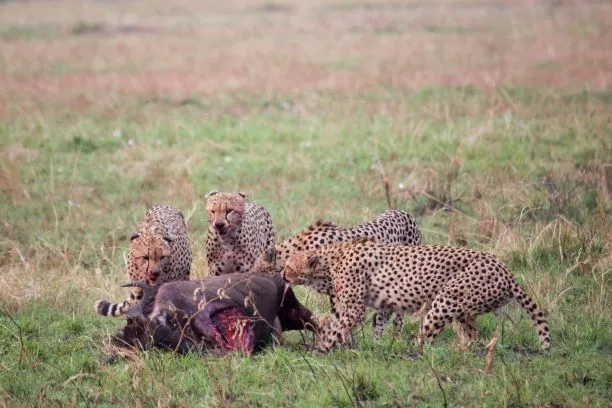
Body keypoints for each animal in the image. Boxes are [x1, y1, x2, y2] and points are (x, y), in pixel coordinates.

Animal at [251, 210, 424, 338]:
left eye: (258, 271)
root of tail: (404, 212)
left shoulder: (338, 291)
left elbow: (342, 317)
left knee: (397, 317)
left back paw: (393, 339)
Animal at [284, 237, 552, 352]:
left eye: (288, 266)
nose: (283, 275)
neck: (328, 263)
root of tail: (506, 270)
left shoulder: (354, 308)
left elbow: (336, 328)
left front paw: (322, 349)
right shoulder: (377, 305)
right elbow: (356, 325)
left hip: (446, 299)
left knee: (426, 339)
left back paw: (410, 351)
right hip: (464, 309)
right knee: (472, 335)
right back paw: (464, 351)